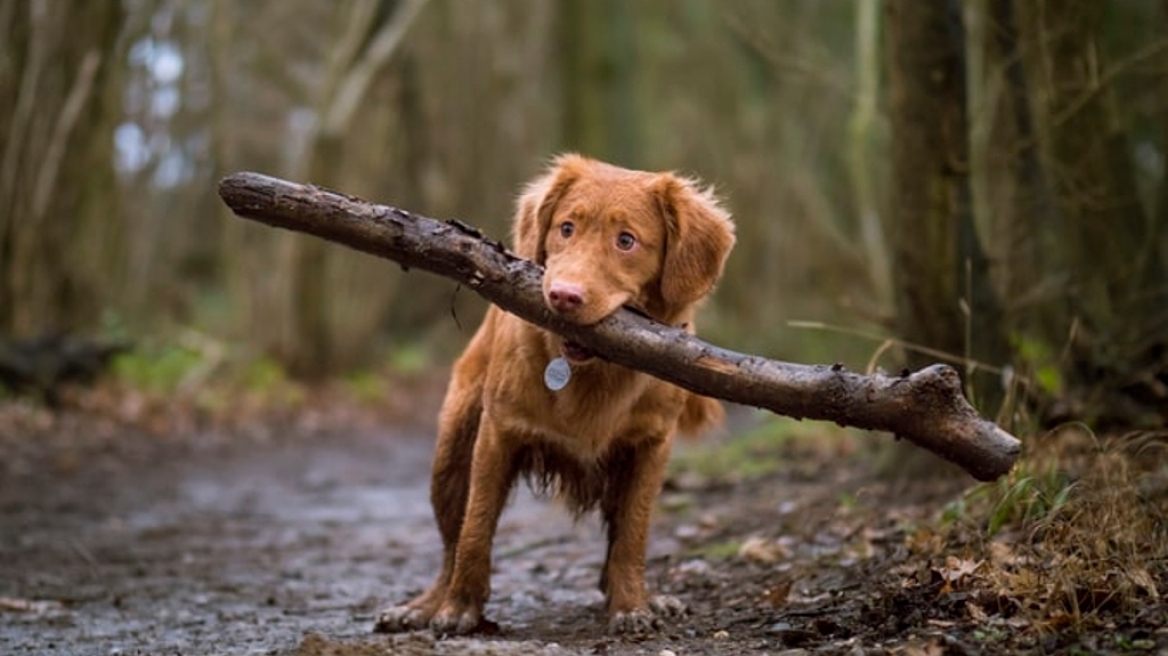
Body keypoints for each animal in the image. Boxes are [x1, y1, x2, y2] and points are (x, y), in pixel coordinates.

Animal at [378, 152, 733, 634]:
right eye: (566, 228)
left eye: (626, 241)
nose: (564, 296)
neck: (592, 372)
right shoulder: (497, 433)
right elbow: (475, 528)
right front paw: (459, 609)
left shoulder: (651, 445)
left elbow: (632, 533)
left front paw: (631, 605)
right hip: (451, 453)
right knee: (451, 541)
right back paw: (425, 605)